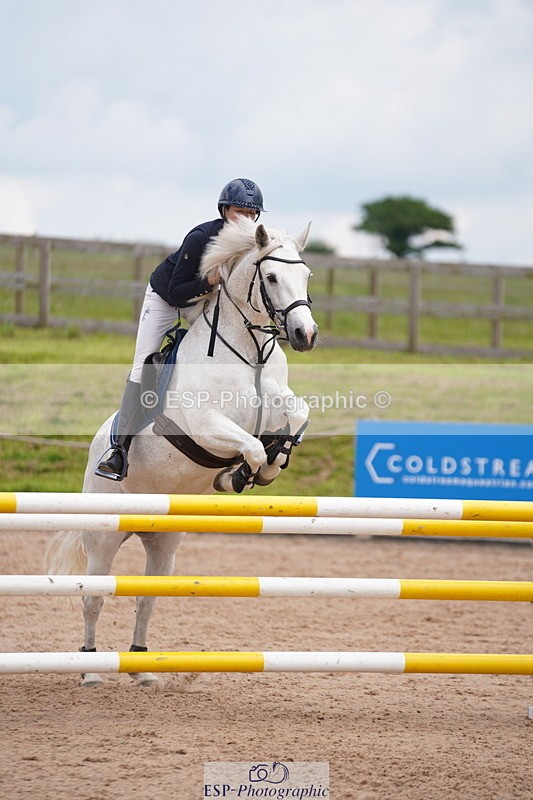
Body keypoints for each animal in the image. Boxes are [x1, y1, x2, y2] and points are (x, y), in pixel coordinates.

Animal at [45, 217, 318, 687]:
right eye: (270, 277)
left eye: (306, 275)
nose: (305, 335)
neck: (248, 352)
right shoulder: (206, 424)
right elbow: (249, 446)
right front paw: (239, 475)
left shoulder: (275, 401)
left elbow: (294, 416)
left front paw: (270, 465)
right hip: (103, 536)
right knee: (93, 598)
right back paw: (91, 669)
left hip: (165, 542)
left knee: (147, 599)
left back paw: (141, 669)